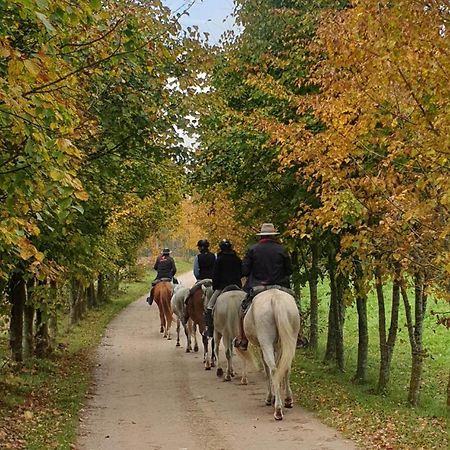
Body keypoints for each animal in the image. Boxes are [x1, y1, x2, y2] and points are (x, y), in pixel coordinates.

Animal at [237, 288, 300, 422]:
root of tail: (275, 299)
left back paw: (278, 410)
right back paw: (288, 400)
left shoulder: (263, 347)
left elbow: (267, 370)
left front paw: (270, 397)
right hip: (290, 339)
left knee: (274, 370)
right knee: (285, 368)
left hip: (265, 342)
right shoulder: (278, 346)